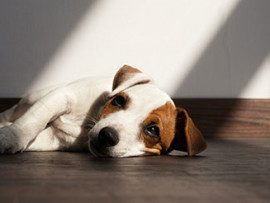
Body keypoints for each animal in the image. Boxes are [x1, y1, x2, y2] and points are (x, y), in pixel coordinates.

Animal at [0, 66, 207, 158]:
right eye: (119, 100)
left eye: (153, 130)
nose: (107, 136)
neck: (87, 122)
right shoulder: (61, 96)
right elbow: (34, 119)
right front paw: (11, 136)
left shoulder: (55, 138)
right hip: (29, 100)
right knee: (12, 114)